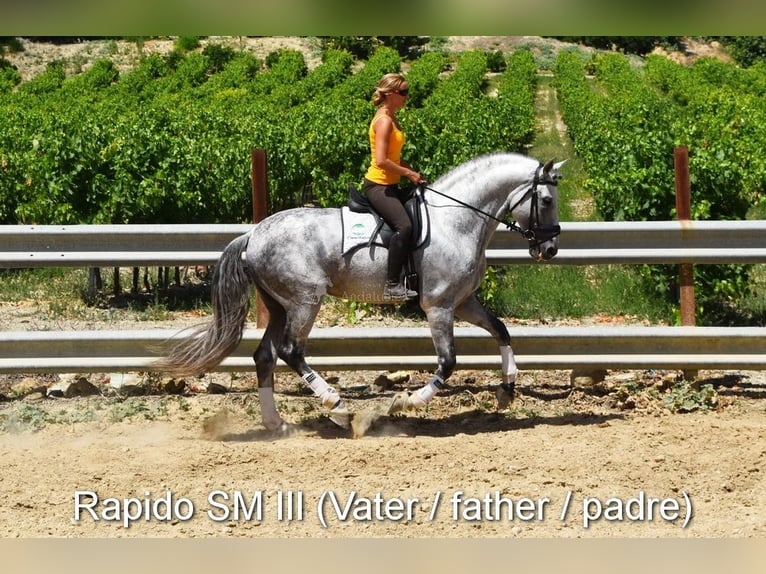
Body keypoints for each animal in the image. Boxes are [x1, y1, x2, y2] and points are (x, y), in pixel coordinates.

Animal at [158, 153, 564, 432]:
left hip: (279, 306)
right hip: (306, 301)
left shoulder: (463, 302)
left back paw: (277, 424)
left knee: (265, 356)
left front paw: (507, 390)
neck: (457, 220)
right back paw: (338, 407)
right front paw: (404, 402)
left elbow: (502, 331)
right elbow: (448, 362)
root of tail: (253, 235)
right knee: (291, 351)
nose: (549, 250)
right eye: (546, 200)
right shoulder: (439, 306)